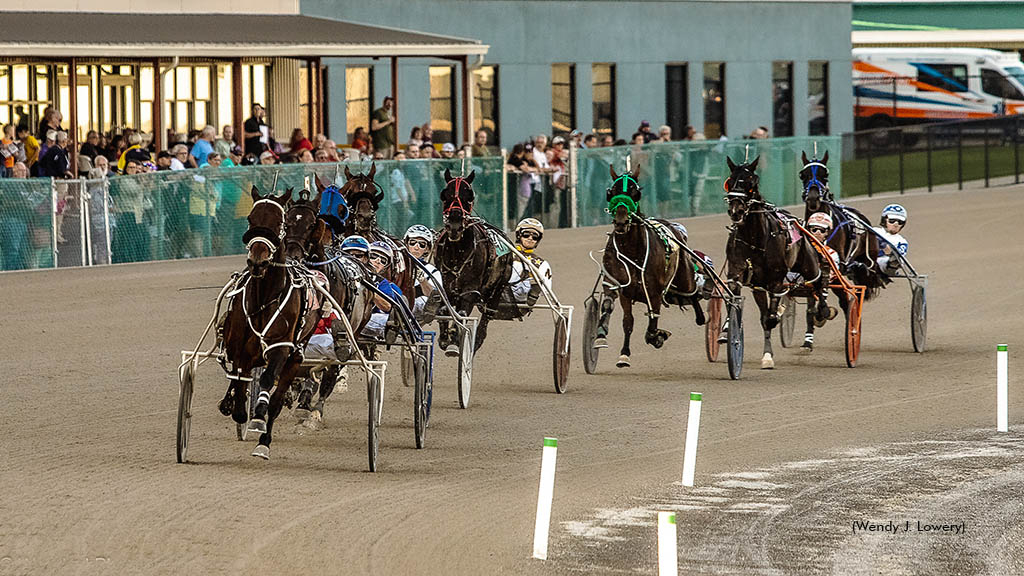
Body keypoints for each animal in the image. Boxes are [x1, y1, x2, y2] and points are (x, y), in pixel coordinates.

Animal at [434, 166, 516, 352]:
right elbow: (443, 311)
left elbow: (463, 314)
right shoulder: (447, 287)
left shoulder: (470, 291)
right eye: (444, 194)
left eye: (469, 196)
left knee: (487, 315)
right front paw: (445, 337)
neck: (457, 251)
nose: (455, 225)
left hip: (498, 287)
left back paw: (476, 340)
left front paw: (455, 339)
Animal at [593, 165, 704, 366]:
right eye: (611, 192)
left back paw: (701, 317)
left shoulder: (654, 292)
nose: (621, 222)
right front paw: (618, 349)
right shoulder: (621, 288)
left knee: (693, 294)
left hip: (684, 278)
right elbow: (624, 319)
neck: (632, 251)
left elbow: (652, 326)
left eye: (635, 193)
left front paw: (658, 336)